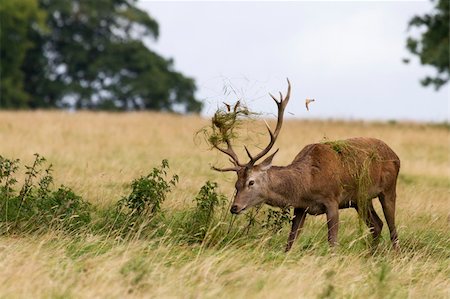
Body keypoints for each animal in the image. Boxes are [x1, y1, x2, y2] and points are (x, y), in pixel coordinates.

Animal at [212, 80, 400, 253]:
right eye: (236, 184)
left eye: (251, 182)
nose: (235, 207)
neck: (306, 183)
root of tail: (395, 155)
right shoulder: (300, 207)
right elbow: (290, 241)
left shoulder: (332, 199)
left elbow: (332, 242)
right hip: (360, 199)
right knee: (376, 224)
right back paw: (371, 255)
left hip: (389, 189)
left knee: (392, 229)